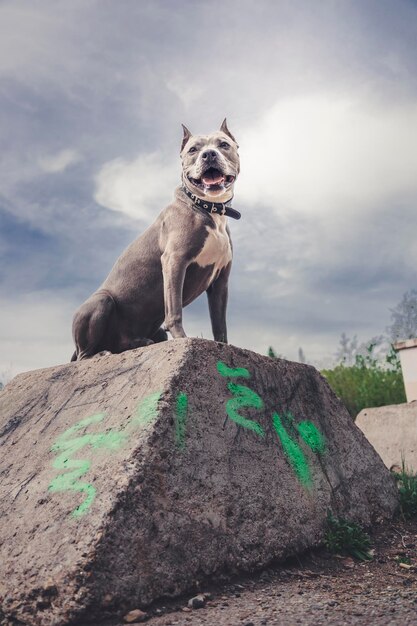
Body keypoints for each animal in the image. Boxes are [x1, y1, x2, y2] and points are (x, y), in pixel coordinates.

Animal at [71, 118, 240, 360]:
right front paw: (182, 339)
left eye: (224, 145)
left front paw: (224, 347)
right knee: (84, 355)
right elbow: (174, 308)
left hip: (154, 332)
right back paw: (101, 354)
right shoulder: (174, 261)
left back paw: (138, 342)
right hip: (101, 301)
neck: (209, 207)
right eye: (193, 150)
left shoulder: (220, 280)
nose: (209, 154)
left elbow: (220, 323)